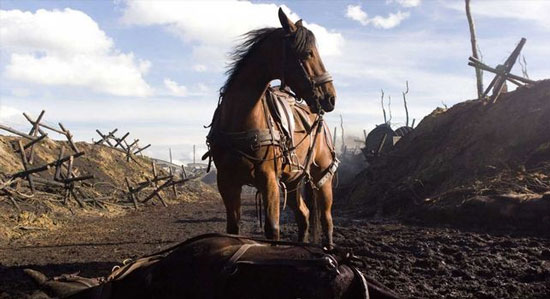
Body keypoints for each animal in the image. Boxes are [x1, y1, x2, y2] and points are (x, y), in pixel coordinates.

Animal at [206, 8, 338, 247]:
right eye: (307, 53)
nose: (330, 97)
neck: (239, 121)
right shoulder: (227, 181)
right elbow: (233, 228)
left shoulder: (269, 180)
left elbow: (272, 229)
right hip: (294, 180)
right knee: (304, 215)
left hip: (322, 177)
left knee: (326, 219)